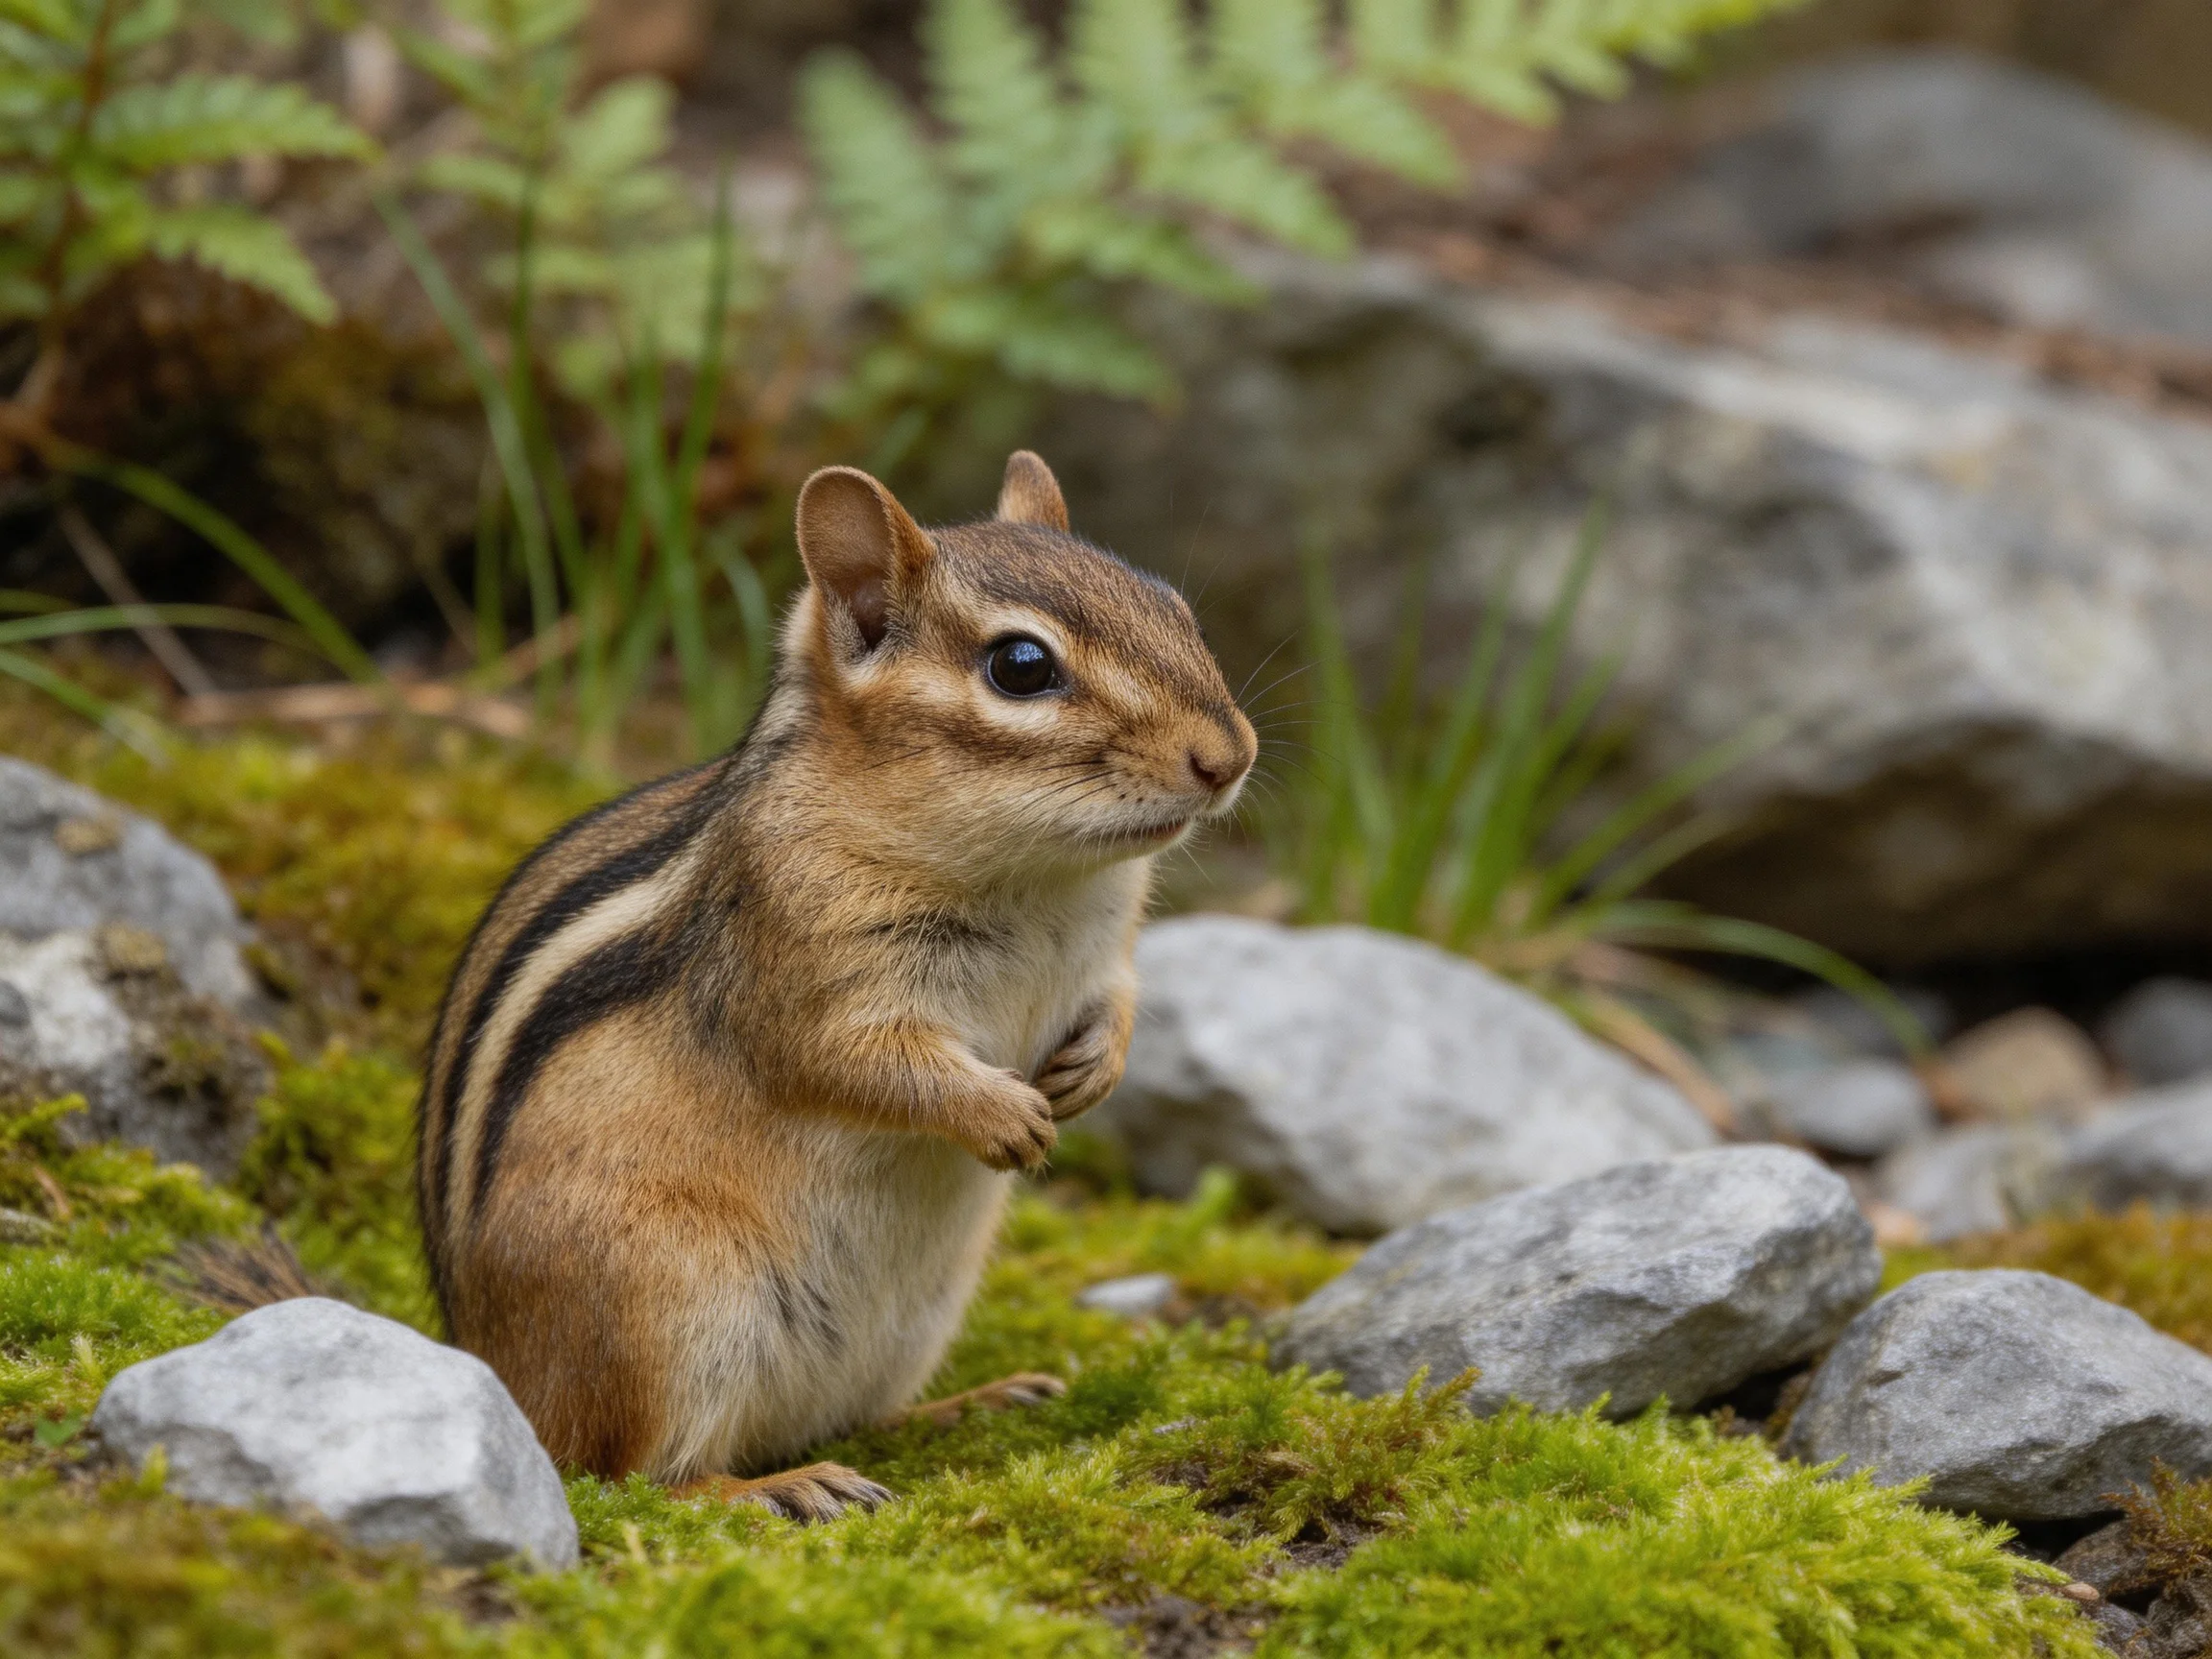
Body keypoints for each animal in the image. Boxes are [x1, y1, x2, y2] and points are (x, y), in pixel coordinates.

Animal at [414, 452, 1256, 1519]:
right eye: (1021, 667)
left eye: (1175, 609)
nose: (1231, 757)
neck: (1040, 881)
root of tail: (494, 1364)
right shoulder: (803, 971)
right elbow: (853, 1063)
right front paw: (1004, 1116)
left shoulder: (1105, 956)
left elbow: (1121, 1001)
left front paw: (1094, 1070)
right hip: (666, 1310)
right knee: (629, 1473)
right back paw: (781, 1487)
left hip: (911, 1320)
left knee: (851, 1415)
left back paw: (974, 1405)